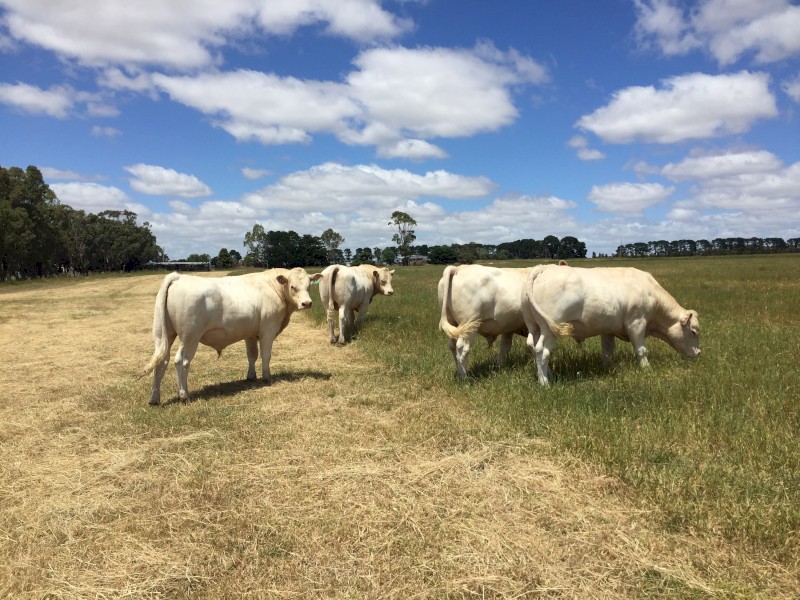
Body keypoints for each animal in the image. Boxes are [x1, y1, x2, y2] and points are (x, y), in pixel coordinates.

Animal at [142, 267, 322, 405]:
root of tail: (179, 277)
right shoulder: (268, 330)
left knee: (161, 362)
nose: (307, 303)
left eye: (309, 286)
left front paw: (251, 376)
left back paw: (154, 398)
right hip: (189, 337)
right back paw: (183, 395)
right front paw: (266, 377)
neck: (273, 288)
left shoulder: (250, 334)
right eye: (293, 286)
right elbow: (265, 355)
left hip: (162, 335)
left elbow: (252, 355)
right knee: (181, 361)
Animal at [521, 264, 701, 386]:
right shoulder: (636, 323)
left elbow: (607, 351)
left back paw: (547, 375)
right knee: (542, 351)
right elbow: (641, 350)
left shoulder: (607, 329)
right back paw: (545, 382)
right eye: (693, 331)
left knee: (534, 349)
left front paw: (605, 368)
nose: (698, 353)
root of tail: (543, 268)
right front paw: (647, 369)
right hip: (549, 330)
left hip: (534, 327)